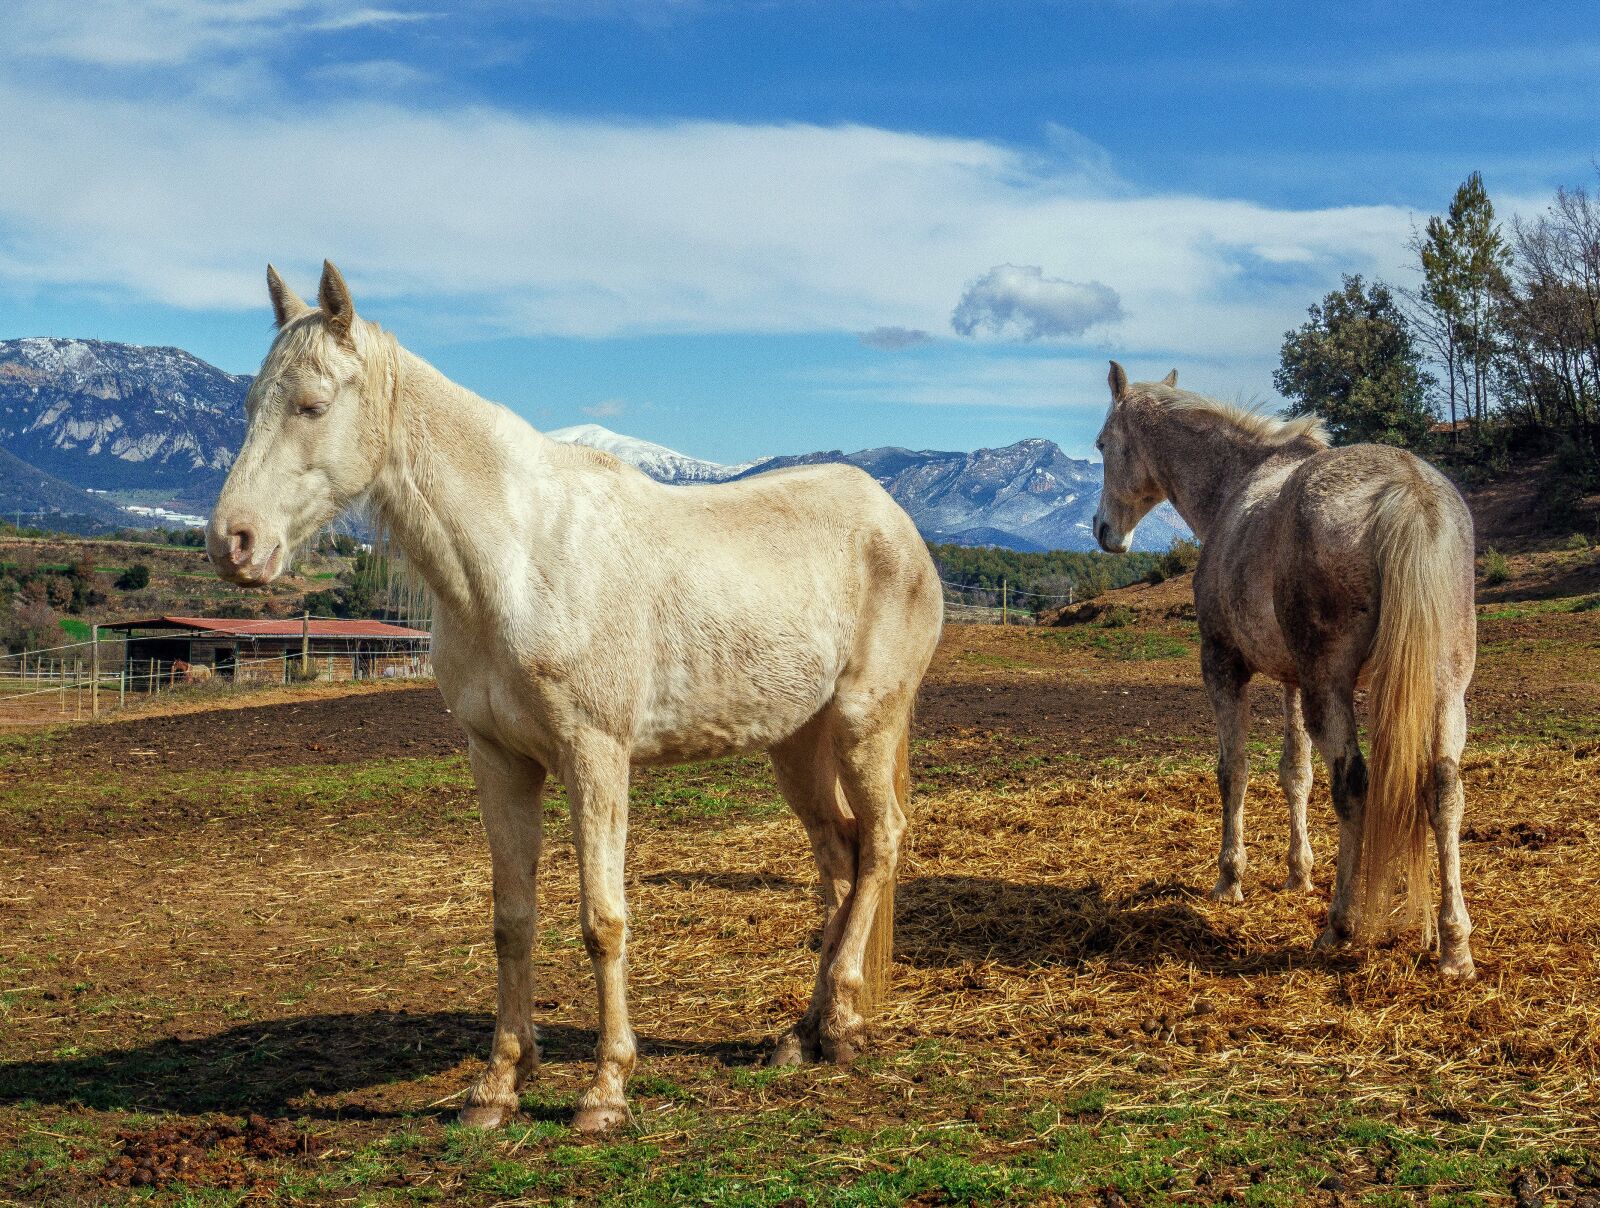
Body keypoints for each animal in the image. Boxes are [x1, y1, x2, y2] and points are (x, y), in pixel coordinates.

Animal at [207, 262, 943, 1130]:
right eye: (251, 405)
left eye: (313, 405)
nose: (233, 543)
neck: (518, 560)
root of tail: (896, 522)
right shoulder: (499, 759)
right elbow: (512, 920)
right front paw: (498, 1086)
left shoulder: (595, 754)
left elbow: (602, 920)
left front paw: (606, 1090)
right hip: (796, 743)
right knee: (839, 853)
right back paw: (813, 1031)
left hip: (865, 721)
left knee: (882, 841)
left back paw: (842, 1024)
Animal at [1092, 362, 1477, 976]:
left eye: (1103, 444)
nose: (1104, 530)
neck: (1236, 488)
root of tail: (1407, 491)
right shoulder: (1293, 681)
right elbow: (1296, 773)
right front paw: (1299, 872)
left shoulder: (1224, 665)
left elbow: (1234, 771)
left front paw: (1229, 878)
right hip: (1443, 692)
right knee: (1443, 793)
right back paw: (1454, 946)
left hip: (1331, 687)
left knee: (1354, 786)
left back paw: (1340, 926)